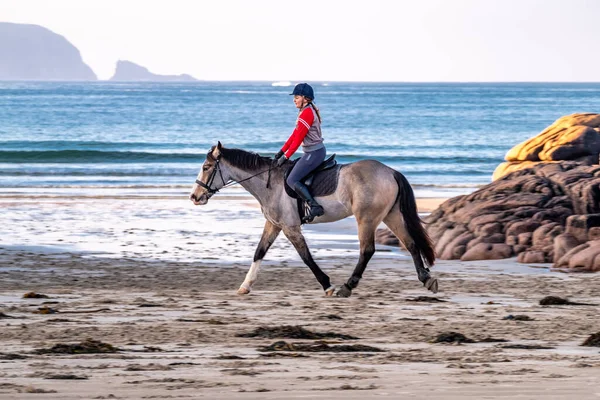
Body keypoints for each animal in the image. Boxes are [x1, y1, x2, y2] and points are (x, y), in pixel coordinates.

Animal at [190, 141, 438, 296]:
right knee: (411, 243)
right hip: (390, 215)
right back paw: (426, 279)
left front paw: (327, 285)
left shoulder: (290, 227)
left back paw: (347, 286)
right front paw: (245, 286)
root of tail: (390, 171)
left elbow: (306, 257)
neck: (269, 183)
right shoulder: (274, 224)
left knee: (367, 250)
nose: (195, 197)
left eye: (206, 167)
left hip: (366, 218)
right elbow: (259, 252)